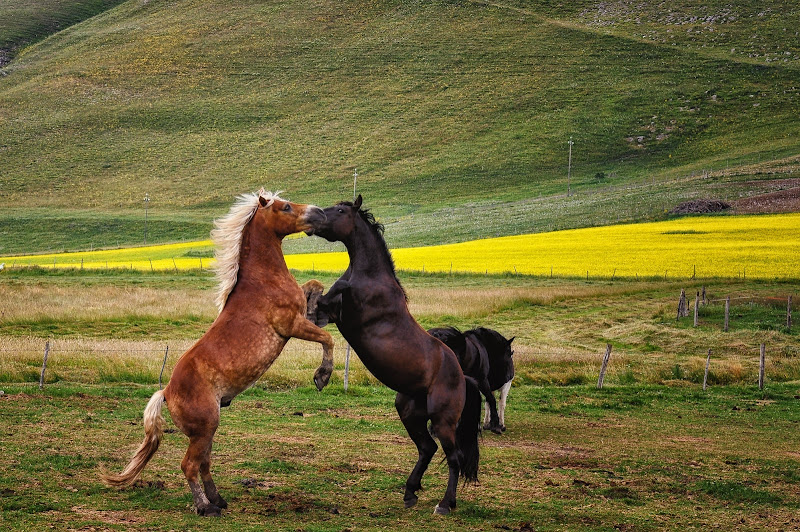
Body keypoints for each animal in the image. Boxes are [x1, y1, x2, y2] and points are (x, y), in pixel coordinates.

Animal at [102, 191, 334, 516]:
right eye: (285, 206)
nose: (320, 213)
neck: (262, 280)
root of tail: (166, 392)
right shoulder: (291, 325)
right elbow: (327, 339)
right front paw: (322, 376)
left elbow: (314, 286)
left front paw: (320, 306)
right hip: (205, 428)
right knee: (189, 465)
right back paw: (204, 506)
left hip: (207, 431)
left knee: (204, 464)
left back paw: (218, 500)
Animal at [308, 195, 482, 516]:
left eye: (340, 210)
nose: (313, 218)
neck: (369, 277)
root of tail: (462, 376)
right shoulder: (330, 314)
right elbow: (315, 300)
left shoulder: (345, 312)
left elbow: (323, 295)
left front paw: (322, 376)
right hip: (409, 411)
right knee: (427, 448)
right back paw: (410, 492)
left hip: (443, 420)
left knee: (453, 457)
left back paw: (445, 504)